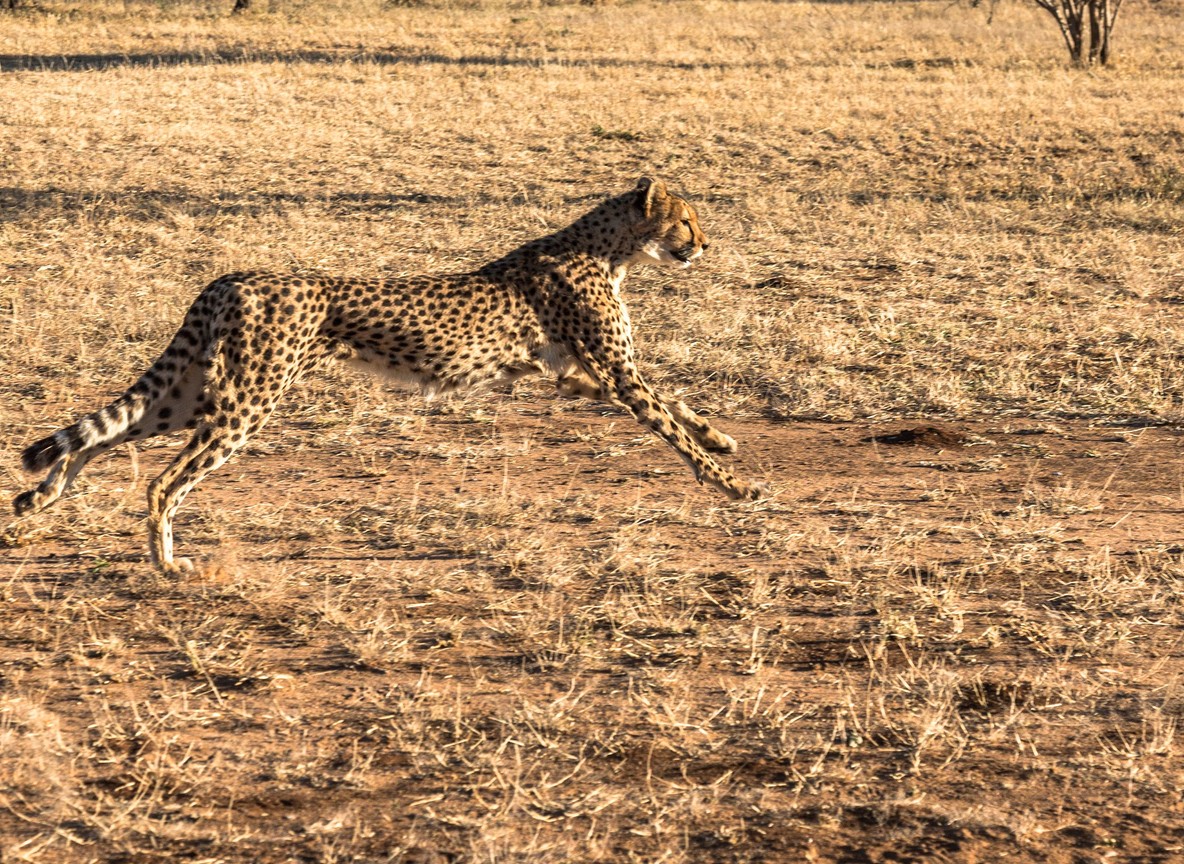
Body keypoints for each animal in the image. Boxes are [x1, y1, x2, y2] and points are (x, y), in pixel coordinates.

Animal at [15, 176, 765, 574]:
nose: (703, 245)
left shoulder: (572, 373)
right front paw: (734, 486)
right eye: (685, 220)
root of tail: (233, 276)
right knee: (164, 479)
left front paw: (724, 440)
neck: (608, 248)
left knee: (107, 432)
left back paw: (38, 500)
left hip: (199, 395)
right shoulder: (612, 372)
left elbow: (679, 405)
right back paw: (165, 562)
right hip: (245, 403)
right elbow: (671, 428)